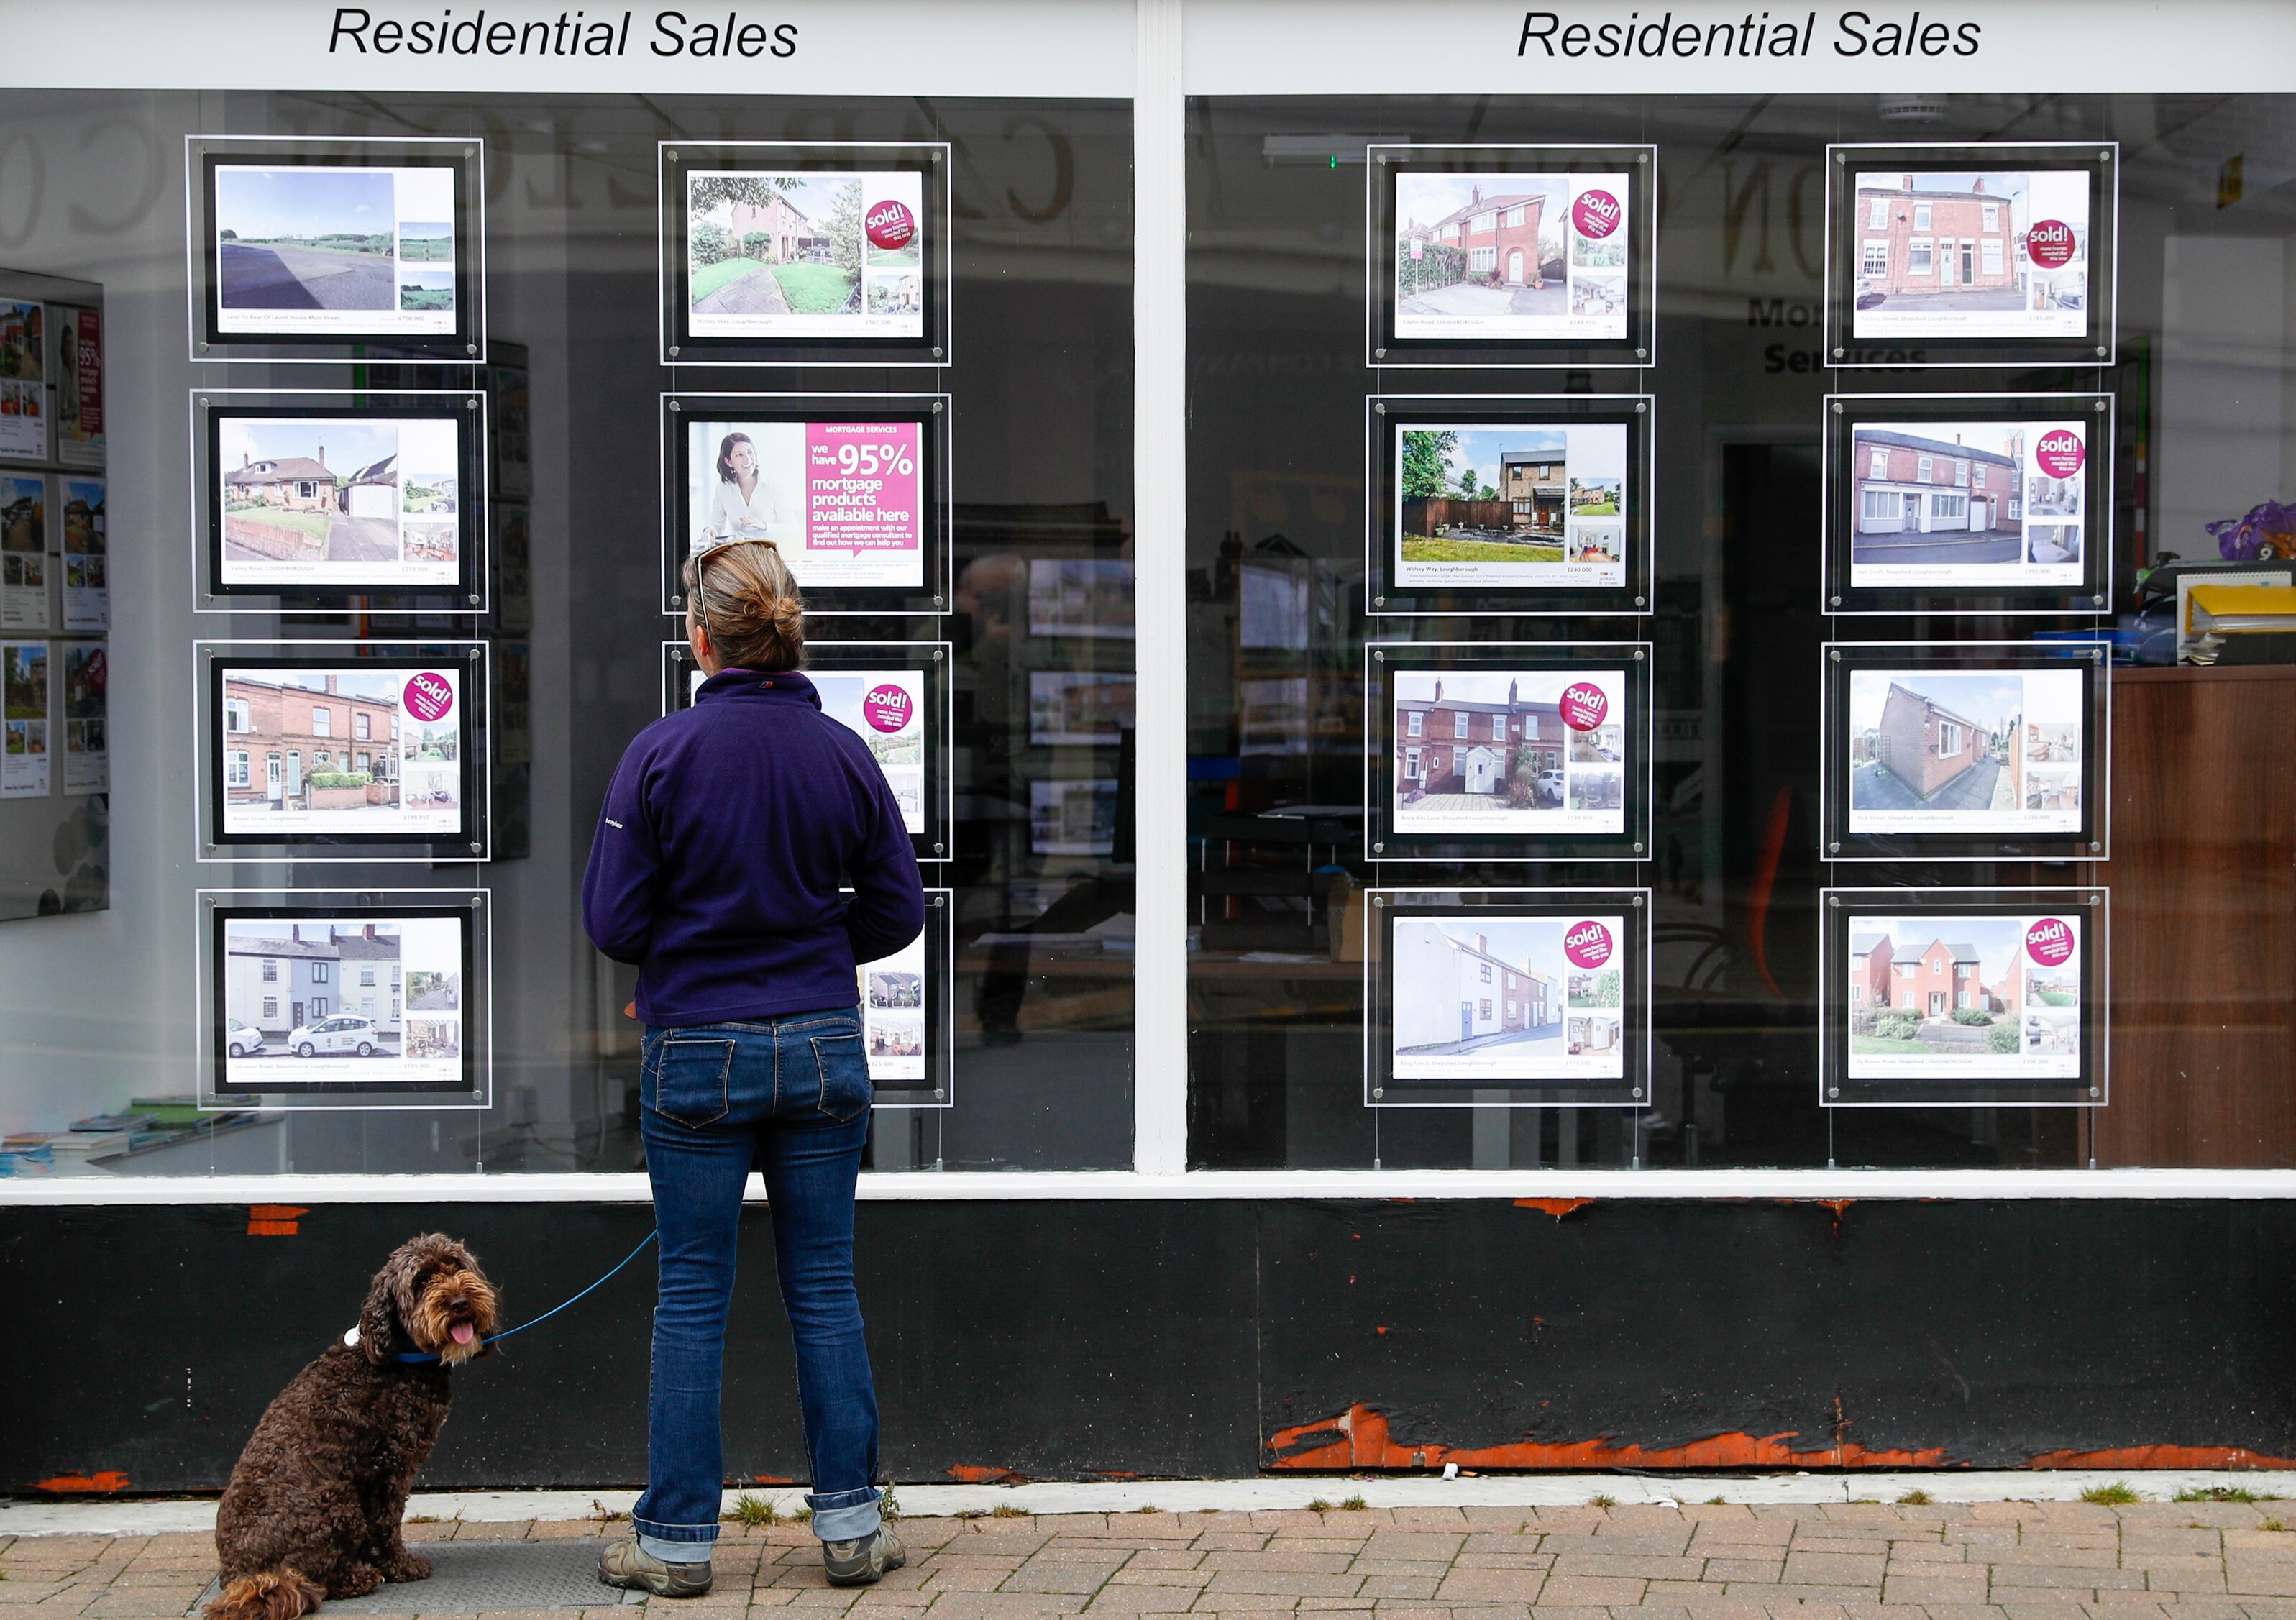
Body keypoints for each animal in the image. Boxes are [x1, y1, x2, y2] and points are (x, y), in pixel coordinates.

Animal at [207, 1220, 503, 1615]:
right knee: (316, 1578)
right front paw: (399, 1566)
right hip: (335, 1501)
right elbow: (387, 1522)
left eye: (456, 1266)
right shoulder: (388, 1464)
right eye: (421, 1281)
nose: (459, 1302)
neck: (398, 1355)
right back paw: (357, 1577)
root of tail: (240, 1574)